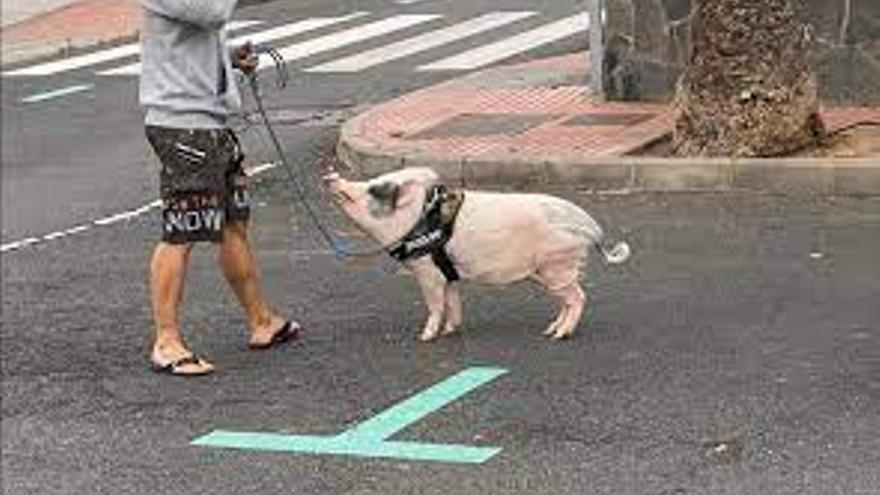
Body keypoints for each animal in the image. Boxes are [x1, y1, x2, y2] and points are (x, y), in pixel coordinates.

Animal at [324, 169, 632, 342]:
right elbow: (452, 302)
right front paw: (451, 330)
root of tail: (590, 227)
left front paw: (424, 337)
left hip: (557, 266)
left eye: (375, 190)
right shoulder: (447, 274)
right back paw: (549, 330)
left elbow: (435, 304)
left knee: (578, 297)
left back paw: (559, 336)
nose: (330, 177)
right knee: (567, 301)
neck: (416, 222)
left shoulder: (426, 271)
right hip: (551, 273)